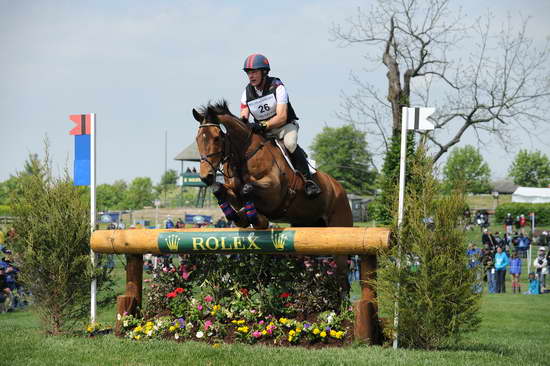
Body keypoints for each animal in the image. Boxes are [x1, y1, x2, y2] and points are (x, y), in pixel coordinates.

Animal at [191, 101, 354, 298]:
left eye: (216, 138)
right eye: (198, 139)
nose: (205, 177)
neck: (244, 155)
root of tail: (339, 189)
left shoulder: (274, 191)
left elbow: (247, 189)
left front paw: (255, 218)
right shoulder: (233, 190)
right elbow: (221, 190)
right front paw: (241, 216)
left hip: (339, 230)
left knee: (342, 278)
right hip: (308, 232)